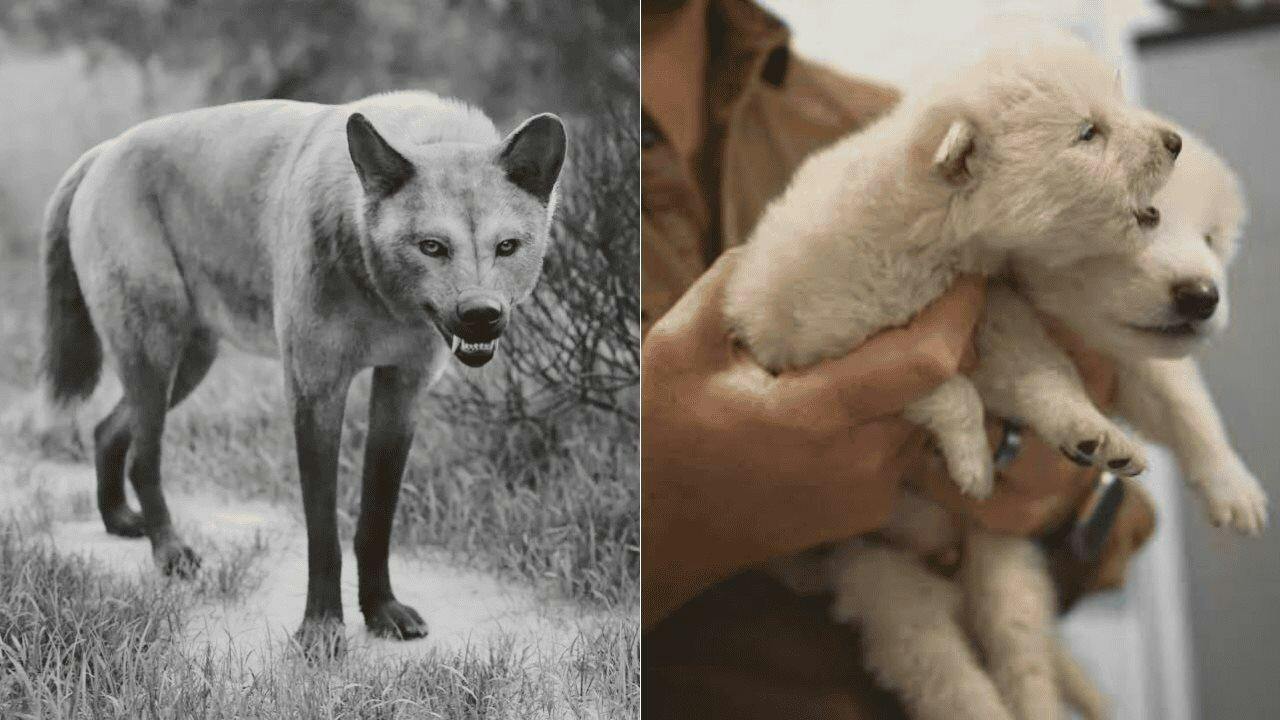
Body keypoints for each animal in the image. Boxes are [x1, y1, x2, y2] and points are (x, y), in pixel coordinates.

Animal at [38, 90, 567, 653]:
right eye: (432, 246)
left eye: (506, 246)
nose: (481, 314)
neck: (379, 292)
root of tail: (105, 150)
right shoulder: (316, 392)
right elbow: (324, 533)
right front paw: (321, 629)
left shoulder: (400, 392)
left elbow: (375, 521)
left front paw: (382, 611)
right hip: (155, 358)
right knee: (143, 457)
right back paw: (170, 552)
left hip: (187, 366)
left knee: (106, 430)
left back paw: (120, 520)